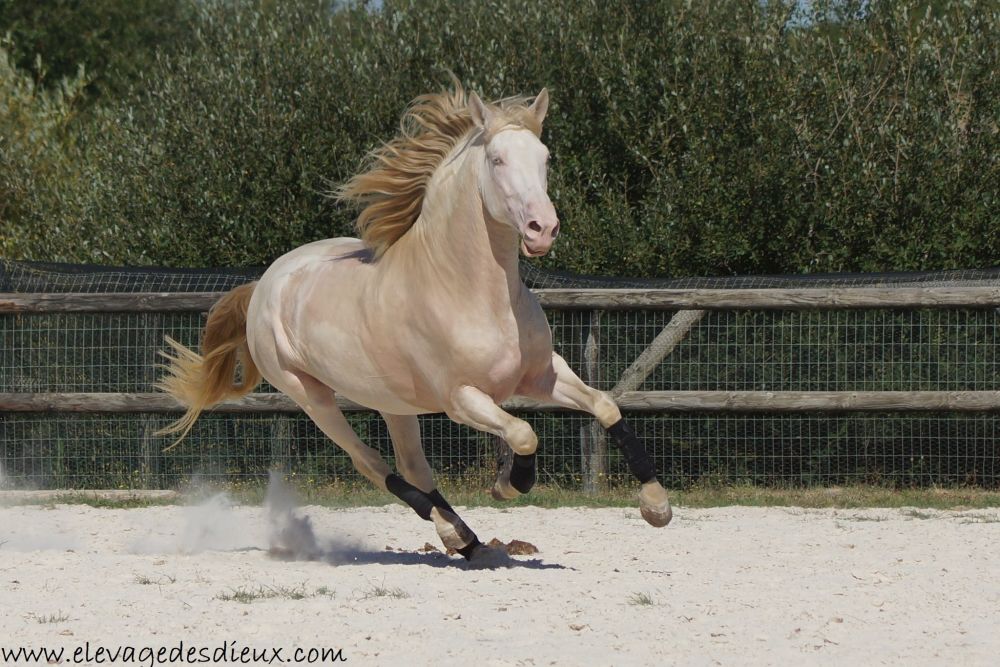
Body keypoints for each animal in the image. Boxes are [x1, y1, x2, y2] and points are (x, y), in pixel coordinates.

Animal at [156, 83, 672, 559]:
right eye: (498, 160)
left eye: (545, 158)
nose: (542, 229)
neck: (472, 292)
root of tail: (265, 283)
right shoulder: (462, 398)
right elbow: (524, 433)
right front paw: (510, 484)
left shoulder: (541, 375)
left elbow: (605, 406)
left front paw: (656, 506)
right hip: (309, 396)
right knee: (372, 464)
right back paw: (456, 532)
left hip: (394, 404)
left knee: (412, 466)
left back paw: (464, 539)